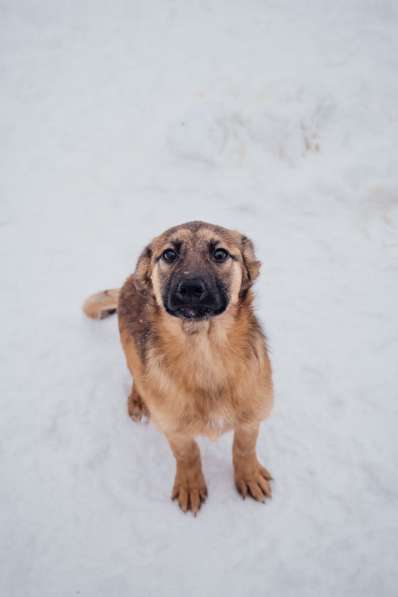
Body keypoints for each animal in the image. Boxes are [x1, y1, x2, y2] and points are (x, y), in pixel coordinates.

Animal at [82, 220, 272, 512]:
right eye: (169, 254)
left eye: (220, 254)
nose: (191, 288)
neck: (205, 352)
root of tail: (128, 281)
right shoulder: (174, 429)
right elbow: (188, 456)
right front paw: (190, 486)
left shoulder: (252, 417)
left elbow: (244, 447)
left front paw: (248, 476)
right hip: (131, 351)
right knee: (137, 375)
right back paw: (137, 401)